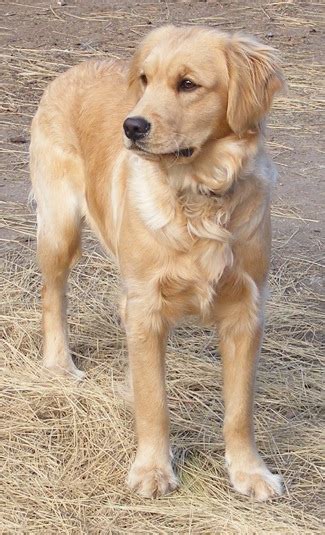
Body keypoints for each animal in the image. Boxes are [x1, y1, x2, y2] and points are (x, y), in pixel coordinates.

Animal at [29, 26, 284, 502]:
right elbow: (153, 400)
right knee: (52, 294)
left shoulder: (246, 310)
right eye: (145, 80)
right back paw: (59, 364)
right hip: (59, 228)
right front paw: (152, 469)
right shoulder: (146, 307)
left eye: (188, 84)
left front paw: (250, 471)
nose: (131, 126)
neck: (199, 197)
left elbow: (240, 409)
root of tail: (74, 68)